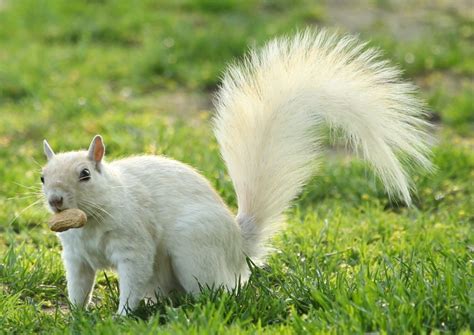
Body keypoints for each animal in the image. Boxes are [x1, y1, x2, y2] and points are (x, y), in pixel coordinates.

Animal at [41, 30, 434, 316]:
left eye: (85, 174)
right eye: (42, 177)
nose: (56, 200)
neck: (89, 221)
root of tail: (237, 245)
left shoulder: (133, 243)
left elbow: (132, 277)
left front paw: (122, 315)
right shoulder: (75, 255)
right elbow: (79, 285)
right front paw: (75, 315)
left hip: (192, 247)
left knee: (216, 291)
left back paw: (191, 307)